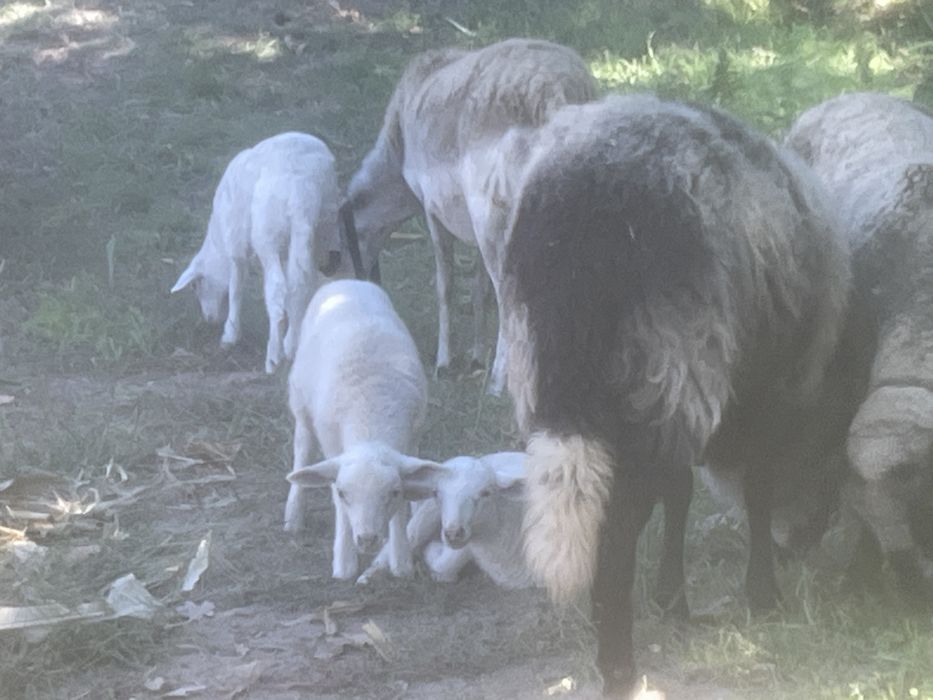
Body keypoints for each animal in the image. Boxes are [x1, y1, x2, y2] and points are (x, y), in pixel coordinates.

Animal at [171, 132, 343, 373]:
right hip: (322, 225)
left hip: (267, 232)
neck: (217, 239)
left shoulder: (236, 244)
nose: (209, 319)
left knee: (277, 288)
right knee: (303, 284)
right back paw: (291, 344)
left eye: (196, 285)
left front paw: (230, 334)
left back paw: (273, 356)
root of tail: (300, 189)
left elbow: (235, 288)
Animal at [283, 279, 440, 583]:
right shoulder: (333, 446)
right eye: (345, 493)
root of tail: (345, 281)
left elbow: (404, 502)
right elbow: (339, 508)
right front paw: (344, 563)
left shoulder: (412, 437)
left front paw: (400, 560)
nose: (367, 539)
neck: (370, 420)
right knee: (302, 450)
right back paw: (293, 516)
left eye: (392, 492)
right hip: (301, 405)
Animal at [327, 39, 597, 393]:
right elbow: (477, 287)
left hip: (497, 212)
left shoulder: (433, 209)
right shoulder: (470, 225)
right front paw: (476, 356)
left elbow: (446, 285)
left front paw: (445, 360)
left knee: (509, 296)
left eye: (333, 256)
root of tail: (560, 92)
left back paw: (499, 382)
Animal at [501, 94, 850, 695]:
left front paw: (672, 600)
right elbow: (758, 490)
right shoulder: (764, 394)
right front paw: (763, 593)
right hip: (666, 358)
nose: (805, 541)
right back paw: (620, 669)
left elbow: (680, 490)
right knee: (619, 528)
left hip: (568, 376)